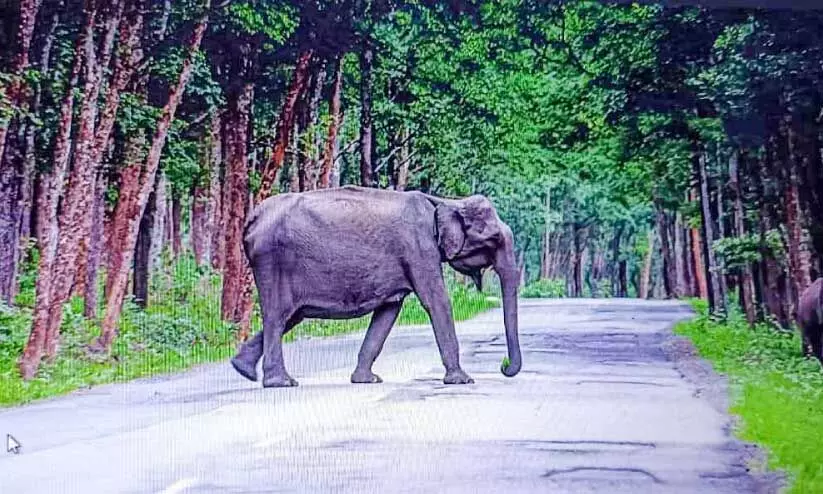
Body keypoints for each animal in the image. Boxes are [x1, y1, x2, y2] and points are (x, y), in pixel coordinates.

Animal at [229, 185, 522, 388]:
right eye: (493, 238)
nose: (503, 366)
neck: (445, 201)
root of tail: (252, 218)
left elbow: (388, 311)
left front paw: (367, 380)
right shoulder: (419, 249)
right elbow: (436, 301)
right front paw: (463, 380)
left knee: (290, 316)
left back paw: (242, 369)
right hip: (272, 261)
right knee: (278, 317)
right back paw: (281, 383)